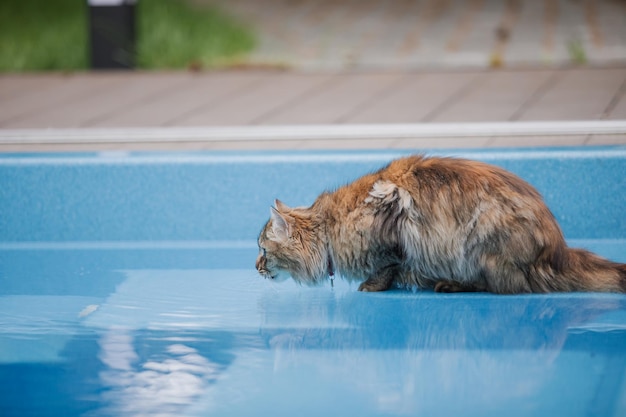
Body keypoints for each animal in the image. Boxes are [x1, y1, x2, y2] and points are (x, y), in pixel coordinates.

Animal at [255, 154, 624, 294]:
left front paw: (373, 285)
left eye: (263, 251)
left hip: (482, 244)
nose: (255, 267)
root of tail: (558, 250)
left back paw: (449, 284)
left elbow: (387, 266)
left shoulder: (391, 218)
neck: (329, 227)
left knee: (499, 287)